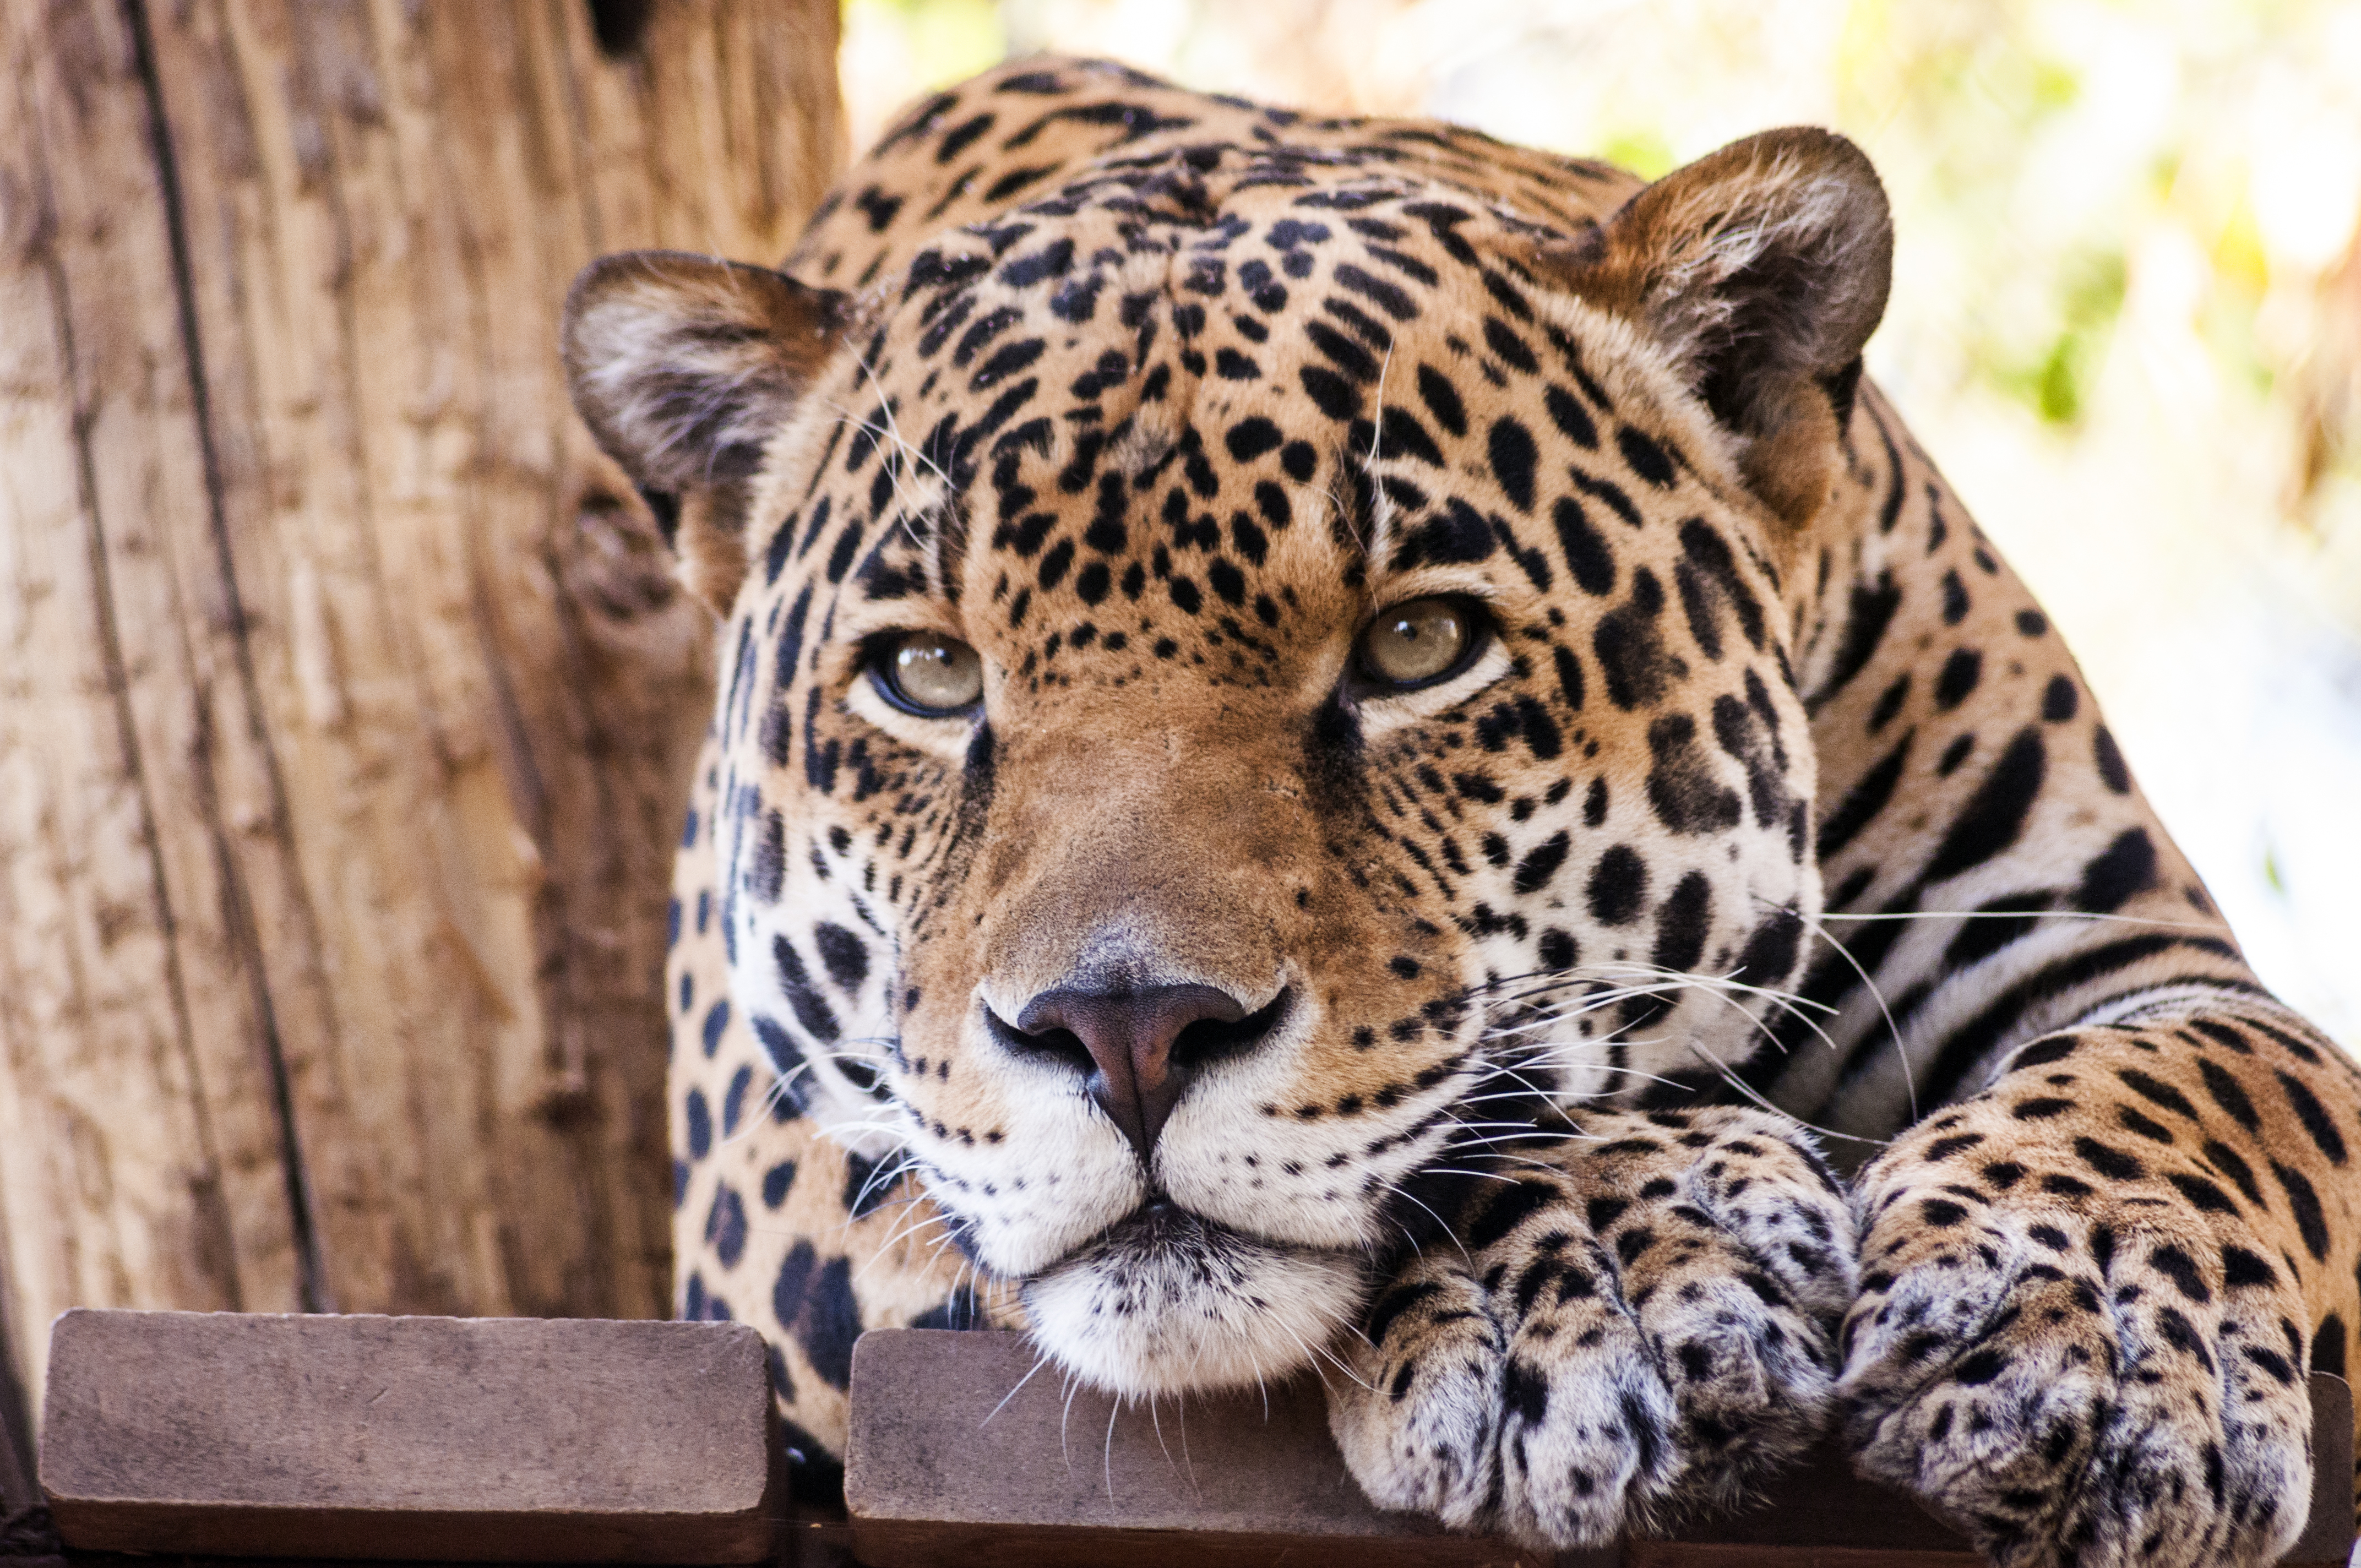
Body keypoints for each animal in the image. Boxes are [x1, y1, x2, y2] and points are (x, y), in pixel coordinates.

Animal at [560, 55, 2361, 1565]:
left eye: (1418, 643)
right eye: (926, 674)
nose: (1124, 1031)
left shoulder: (2115, 943)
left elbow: (2215, 1081)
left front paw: (2088, 1333)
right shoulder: (788, 1152)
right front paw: (1622, 1272)